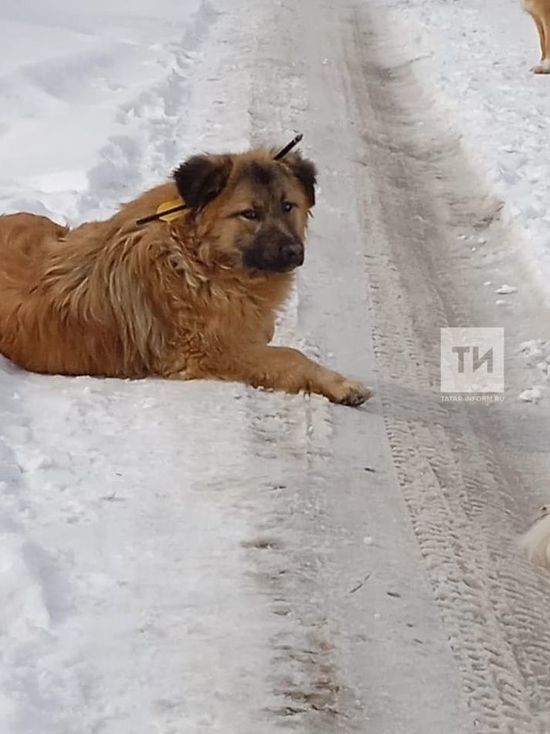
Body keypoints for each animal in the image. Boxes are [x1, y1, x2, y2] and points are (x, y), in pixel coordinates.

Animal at [0, 147, 376, 406]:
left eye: (288, 206)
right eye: (249, 214)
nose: (294, 252)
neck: (196, 259)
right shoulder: (214, 351)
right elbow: (289, 355)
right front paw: (342, 385)